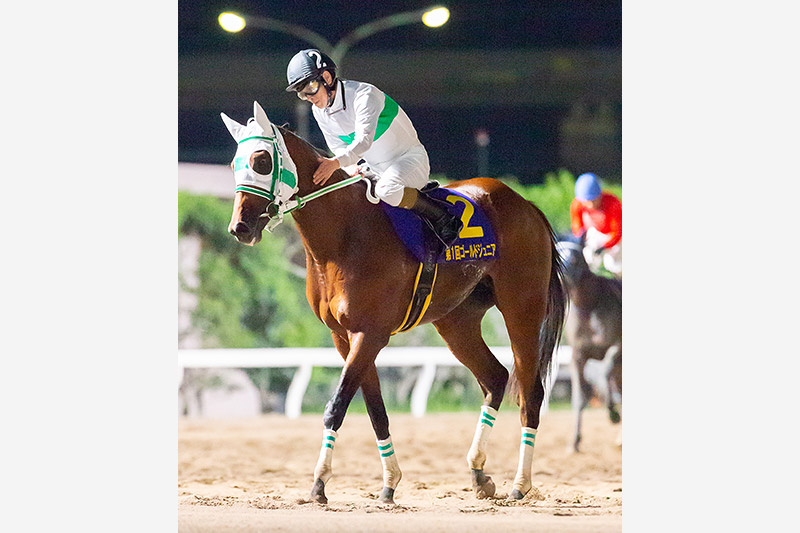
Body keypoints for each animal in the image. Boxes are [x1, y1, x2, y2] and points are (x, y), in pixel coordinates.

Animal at [220, 101, 566, 504]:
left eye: (261, 160)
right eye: (234, 163)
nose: (240, 228)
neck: (345, 235)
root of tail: (527, 204)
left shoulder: (370, 333)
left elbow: (336, 406)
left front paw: (319, 482)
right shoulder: (345, 337)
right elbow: (375, 410)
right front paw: (389, 481)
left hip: (522, 308)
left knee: (530, 391)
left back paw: (520, 483)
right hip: (456, 320)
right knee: (495, 377)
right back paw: (479, 473)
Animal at [556, 241, 622, 453]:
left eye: (576, 256)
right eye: (557, 252)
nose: (563, 273)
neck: (589, 305)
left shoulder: (617, 345)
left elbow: (605, 372)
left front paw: (613, 414)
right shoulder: (578, 355)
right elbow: (579, 398)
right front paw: (574, 442)